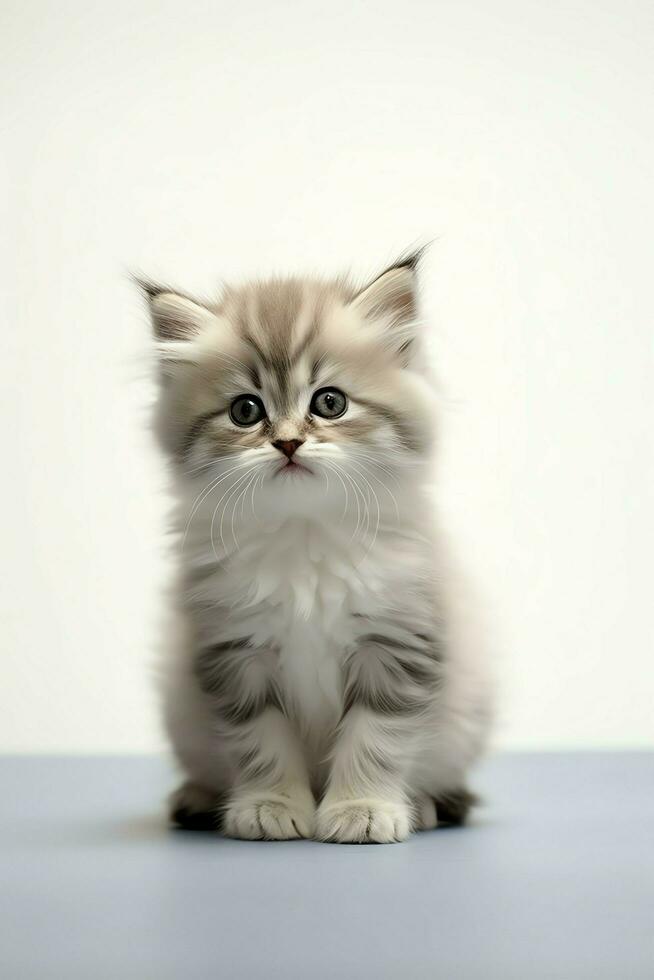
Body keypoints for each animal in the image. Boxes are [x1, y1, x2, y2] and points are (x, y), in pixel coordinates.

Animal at [142, 253, 492, 844]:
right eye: (245, 411)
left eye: (330, 402)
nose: (287, 442)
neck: (304, 534)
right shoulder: (235, 654)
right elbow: (261, 744)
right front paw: (269, 806)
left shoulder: (396, 644)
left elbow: (375, 739)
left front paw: (363, 809)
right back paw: (198, 799)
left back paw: (421, 806)